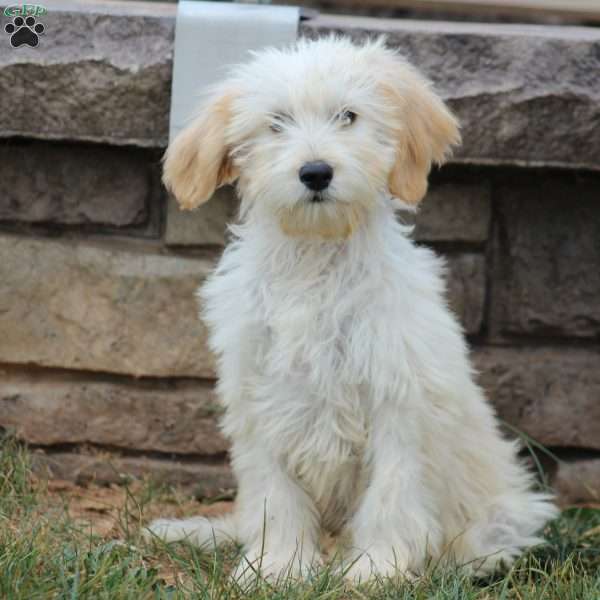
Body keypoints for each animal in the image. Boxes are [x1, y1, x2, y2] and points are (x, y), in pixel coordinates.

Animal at [146, 36, 556, 580]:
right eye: (276, 122)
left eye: (348, 116)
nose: (316, 172)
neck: (317, 256)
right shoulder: (261, 398)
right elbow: (275, 493)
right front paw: (277, 565)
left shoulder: (397, 398)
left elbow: (392, 492)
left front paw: (376, 569)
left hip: (502, 510)